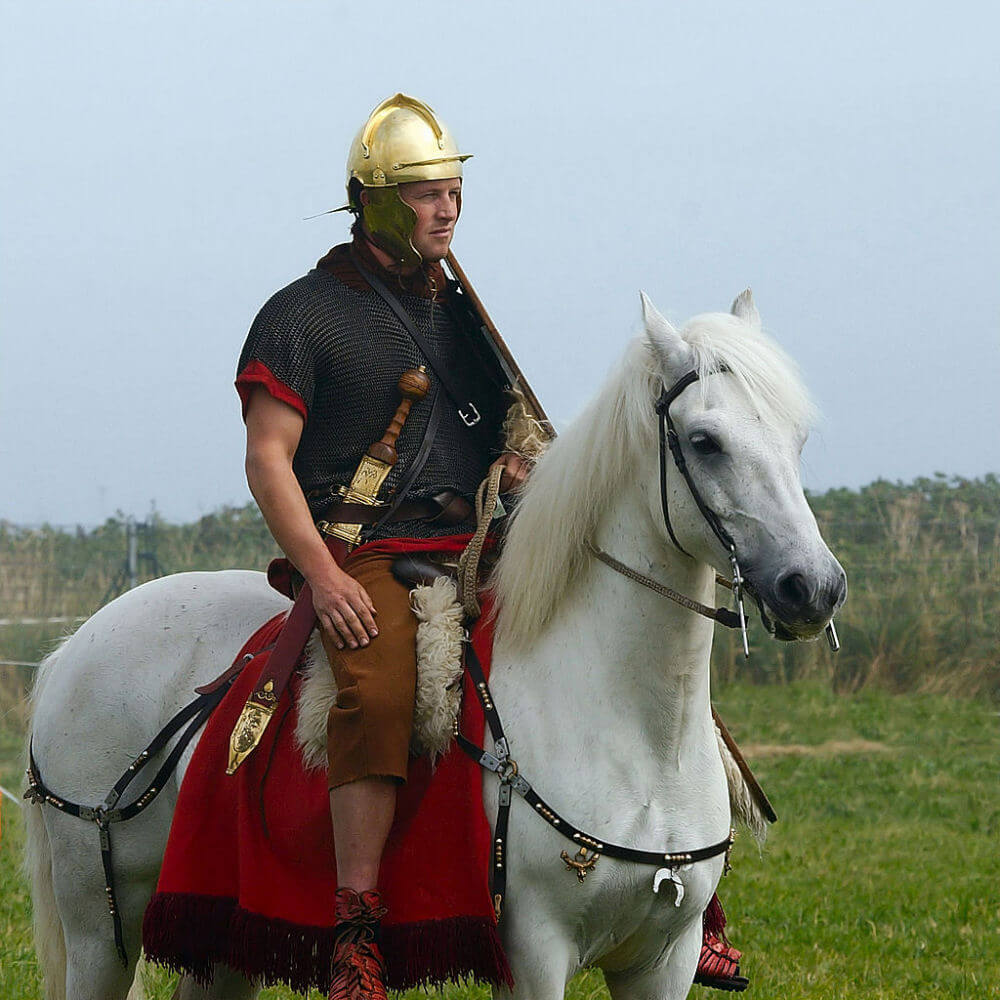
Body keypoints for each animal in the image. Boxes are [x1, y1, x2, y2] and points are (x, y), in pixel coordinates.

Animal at [21, 292, 844, 1000]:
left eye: (799, 438)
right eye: (705, 442)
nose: (812, 587)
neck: (634, 734)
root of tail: (71, 650)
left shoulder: (662, 960)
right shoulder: (534, 954)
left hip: (218, 935)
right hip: (99, 932)